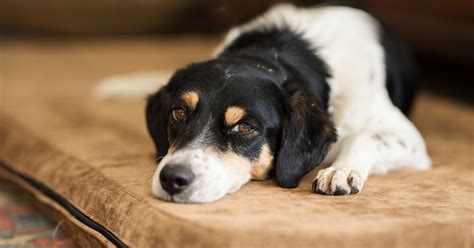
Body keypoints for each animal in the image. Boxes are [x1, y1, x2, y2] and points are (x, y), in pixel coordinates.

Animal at [95, 3, 430, 203]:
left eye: (244, 127)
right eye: (179, 112)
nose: (172, 179)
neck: (275, 54)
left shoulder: (410, 139)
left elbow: (363, 138)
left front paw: (341, 171)